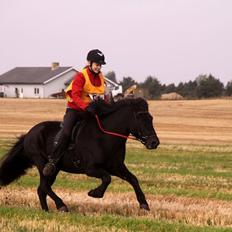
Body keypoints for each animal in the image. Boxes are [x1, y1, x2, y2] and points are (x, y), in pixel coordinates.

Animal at [0, 98, 160, 212]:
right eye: (140, 118)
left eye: (151, 118)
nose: (154, 142)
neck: (105, 137)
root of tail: (29, 134)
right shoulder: (91, 169)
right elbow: (107, 178)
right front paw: (95, 193)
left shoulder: (116, 167)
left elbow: (133, 179)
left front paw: (144, 204)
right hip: (42, 164)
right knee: (44, 186)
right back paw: (61, 206)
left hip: (54, 170)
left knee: (41, 189)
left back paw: (46, 211)